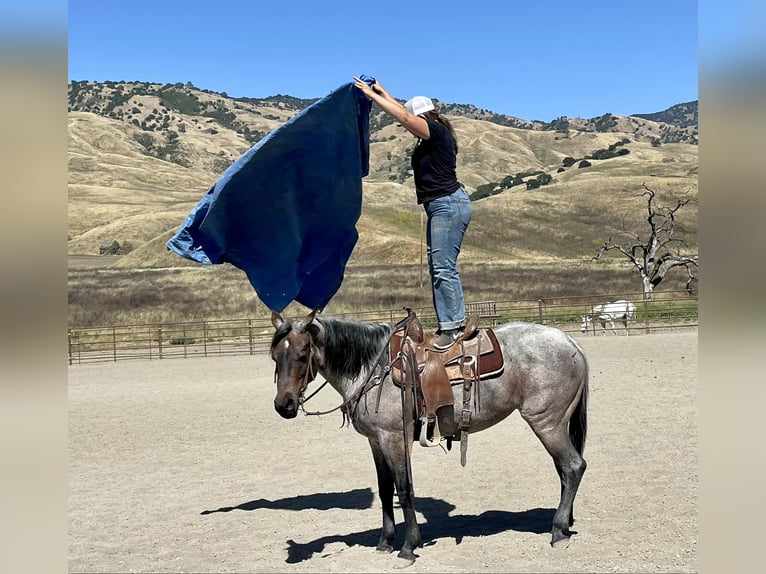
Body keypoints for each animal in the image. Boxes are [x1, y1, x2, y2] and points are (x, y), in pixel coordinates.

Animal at [272, 312, 592, 564]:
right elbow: (385, 490)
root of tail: (570, 342)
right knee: (564, 470)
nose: (283, 405)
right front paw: (385, 542)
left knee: (573, 467)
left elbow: (404, 489)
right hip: (556, 425)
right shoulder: (375, 441)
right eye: (275, 356)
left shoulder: (394, 439)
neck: (372, 368)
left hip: (546, 422)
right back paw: (564, 524)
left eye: (302, 354)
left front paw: (408, 547)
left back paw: (557, 530)